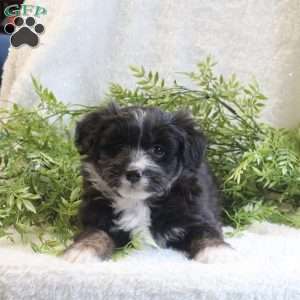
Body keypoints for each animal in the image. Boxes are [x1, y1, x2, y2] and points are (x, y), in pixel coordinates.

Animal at [63, 104, 234, 264]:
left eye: (158, 150)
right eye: (119, 147)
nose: (133, 173)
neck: (137, 201)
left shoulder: (196, 213)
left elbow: (206, 231)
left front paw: (217, 252)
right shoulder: (95, 218)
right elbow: (95, 233)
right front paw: (81, 251)